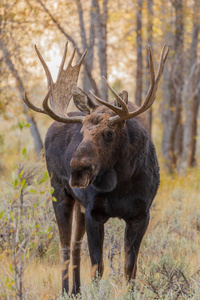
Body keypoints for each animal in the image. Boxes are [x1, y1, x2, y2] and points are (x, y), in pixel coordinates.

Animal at [22, 42, 169, 296]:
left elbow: (130, 268)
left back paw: (76, 291)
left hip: (79, 206)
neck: (121, 182)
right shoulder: (94, 212)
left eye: (108, 133)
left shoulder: (141, 214)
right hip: (59, 192)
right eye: (82, 132)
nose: (77, 170)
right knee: (64, 245)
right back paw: (65, 291)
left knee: (75, 245)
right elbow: (98, 268)